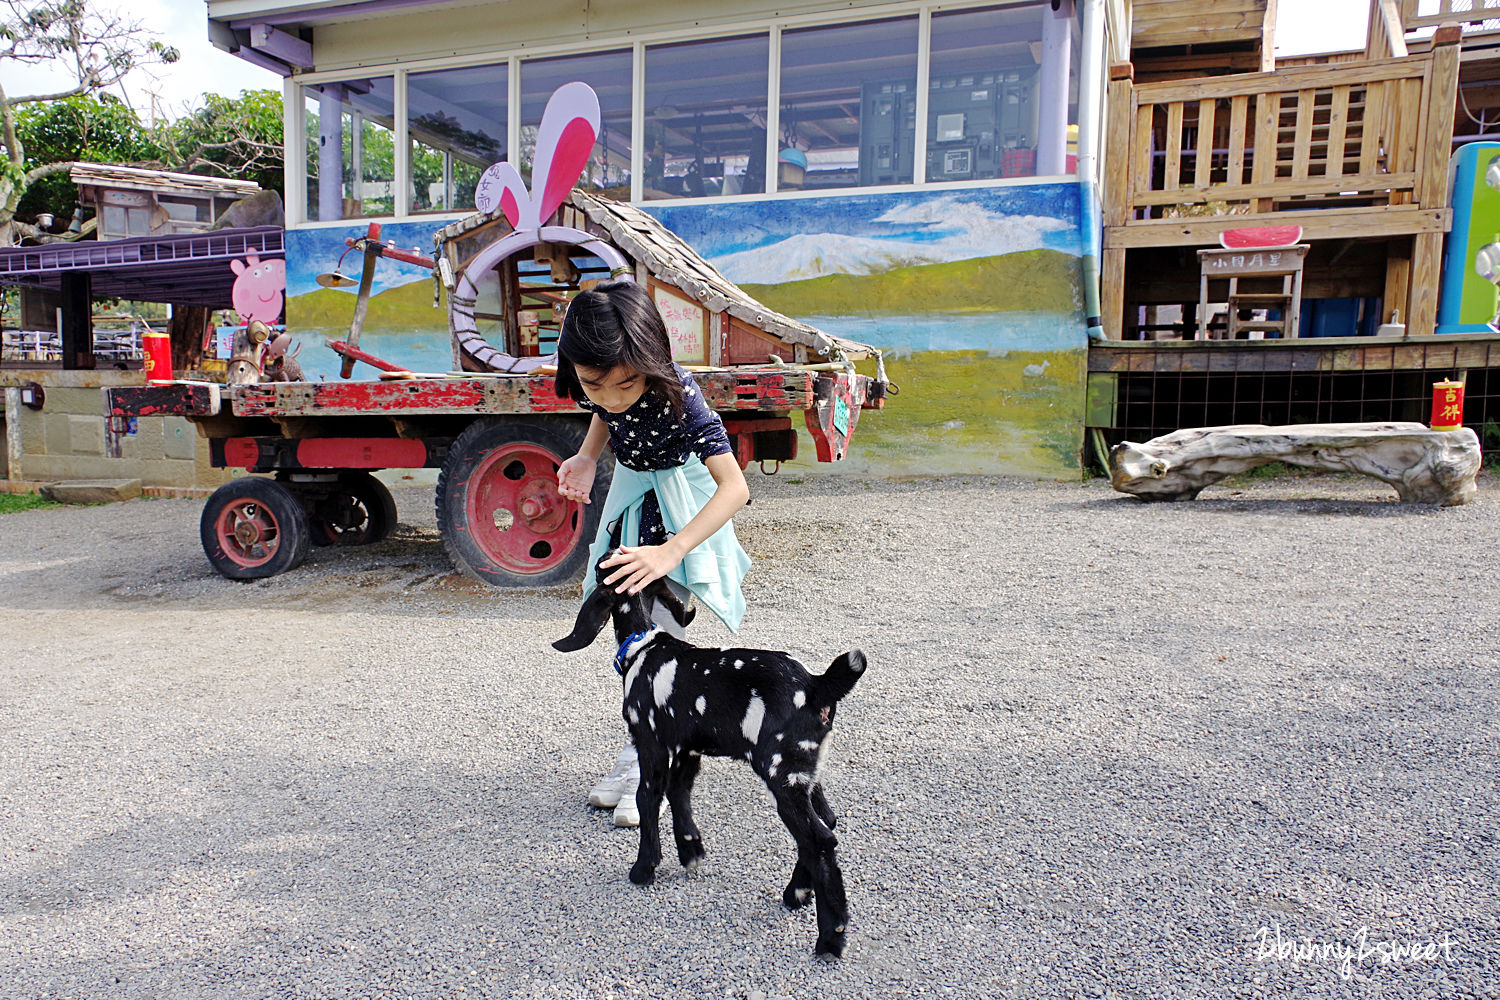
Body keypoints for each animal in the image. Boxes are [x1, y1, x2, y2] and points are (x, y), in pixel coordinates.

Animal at [555, 548, 870, 959]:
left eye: (603, 567)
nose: (605, 550)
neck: (644, 646)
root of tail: (818, 686)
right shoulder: (687, 748)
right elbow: (680, 793)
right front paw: (691, 851)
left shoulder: (651, 743)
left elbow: (647, 797)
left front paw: (644, 869)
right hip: (807, 769)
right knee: (826, 822)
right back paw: (797, 893)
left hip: (781, 772)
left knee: (819, 838)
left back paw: (831, 936)